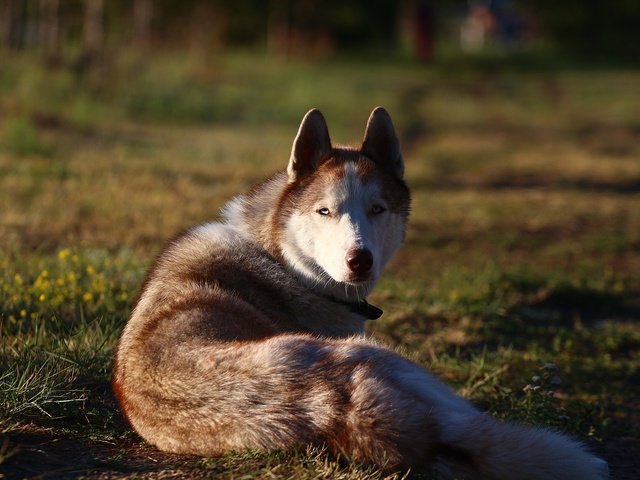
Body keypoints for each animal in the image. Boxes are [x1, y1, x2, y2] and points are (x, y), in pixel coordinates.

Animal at [115, 107, 608, 478]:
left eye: (377, 209)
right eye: (324, 211)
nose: (360, 260)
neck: (279, 256)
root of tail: (340, 411)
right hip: (390, 360)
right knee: (476, 426)